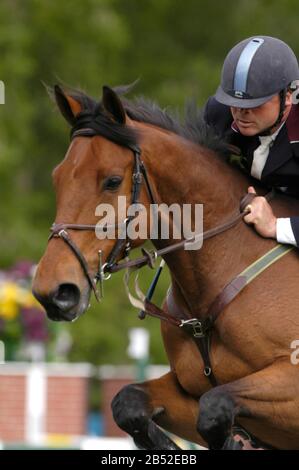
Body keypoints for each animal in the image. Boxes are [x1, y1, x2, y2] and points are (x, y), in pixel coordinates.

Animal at [33, 82, 299, 450]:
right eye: (57, 178)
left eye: (112, 181)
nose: (54, 292)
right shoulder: (188, 389)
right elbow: (129, 403)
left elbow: (215, 407)